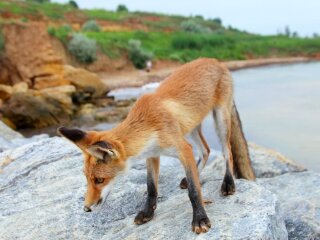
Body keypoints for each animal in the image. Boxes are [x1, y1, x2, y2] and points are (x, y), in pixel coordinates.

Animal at [58, 57, 256, 233]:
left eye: (99, 180)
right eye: (86, 178)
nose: (86, 208)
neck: (148, 124)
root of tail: (216, 61)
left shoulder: (183, 149)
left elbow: (194, 191)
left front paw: (200, 218)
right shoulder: (152, 155)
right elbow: (151, 187)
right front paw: (147, 212)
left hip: (220, 119)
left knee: (227, 151)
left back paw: (228, 183)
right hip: (190, 126)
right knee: (205, 150)